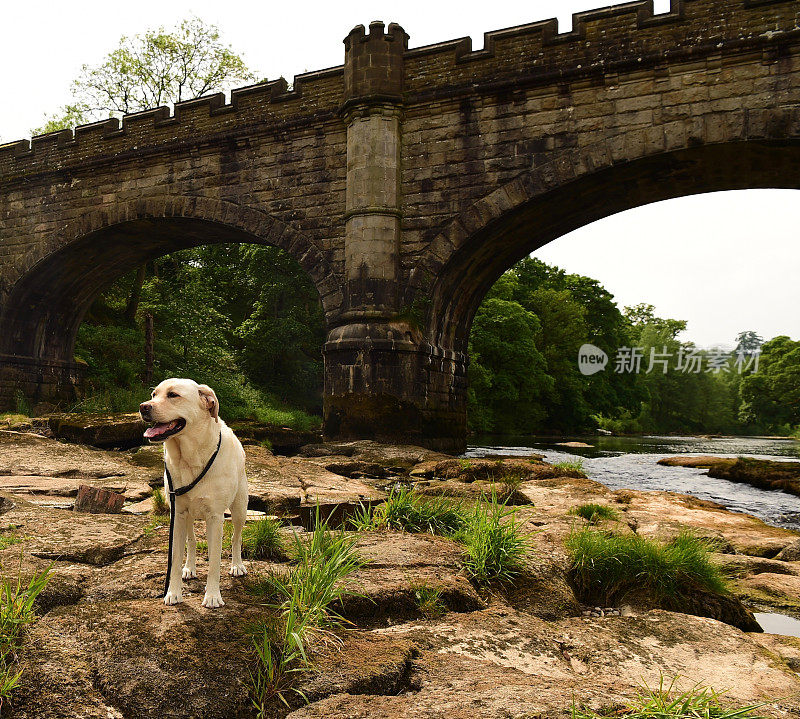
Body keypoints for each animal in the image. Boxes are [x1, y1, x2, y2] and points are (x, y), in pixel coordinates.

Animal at [139, 380, 248, 612]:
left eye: (173, 395)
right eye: (154, 394)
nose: (143, 407)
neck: (189, 457)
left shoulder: (215, 517)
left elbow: (215, 561)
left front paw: (213, 596)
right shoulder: (177, 514)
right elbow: (175, 558)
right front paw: (173, 593)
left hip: (239, 508)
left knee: (236, 538)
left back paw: (237, 565)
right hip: (187, 515)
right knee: (191, 539)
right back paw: (189, 568)